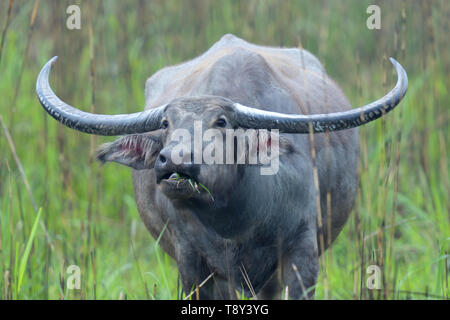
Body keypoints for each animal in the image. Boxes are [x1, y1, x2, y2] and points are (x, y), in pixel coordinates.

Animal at [37, 33, 406, 298]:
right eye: (166, 123)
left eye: (222, 122)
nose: (174, 159)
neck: (236, 220)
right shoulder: (192, 261)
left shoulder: (301, 253)